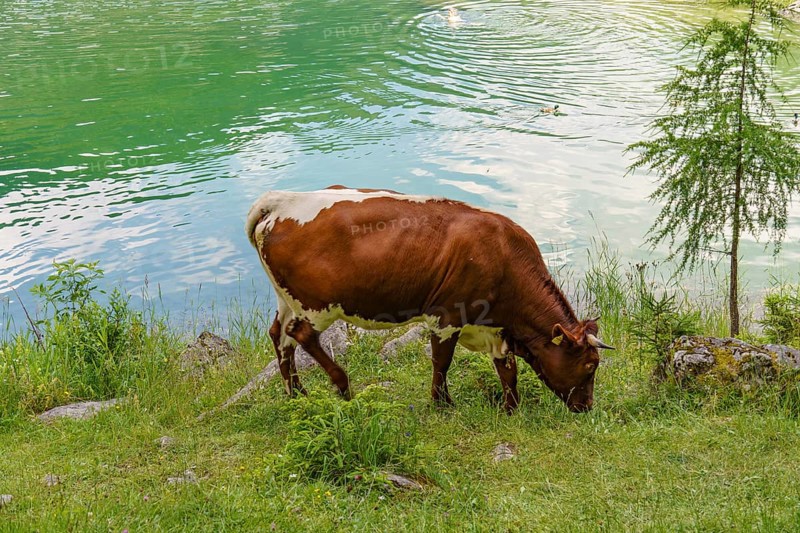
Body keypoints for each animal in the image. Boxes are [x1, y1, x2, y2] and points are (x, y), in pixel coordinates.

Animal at [245, 185, 614, 413]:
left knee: (279, 336)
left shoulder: (495, 328)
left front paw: (511, 408)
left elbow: (507, 369)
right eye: (590, 365)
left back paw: (297, 395)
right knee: (301, 335)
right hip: (317, 305)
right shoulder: (448, 315)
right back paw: (343, 386)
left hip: (287, 299)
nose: (587, 407)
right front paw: (442, 404)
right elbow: (442, 361)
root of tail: (280, 199)